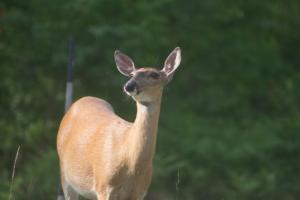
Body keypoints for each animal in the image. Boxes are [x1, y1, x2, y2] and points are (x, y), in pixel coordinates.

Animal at [57, 47, 182, 200]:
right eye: (132, 74)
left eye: (154, 75)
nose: (129, 85)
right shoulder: (104, 186)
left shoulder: (139, 192)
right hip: (65, 176)